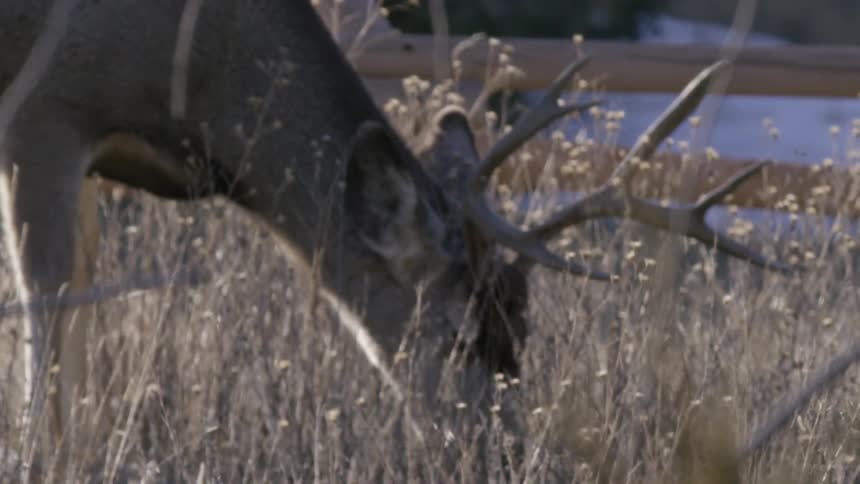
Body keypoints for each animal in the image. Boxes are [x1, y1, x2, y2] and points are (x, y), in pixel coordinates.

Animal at [2, 0, 833, 478]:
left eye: (523, 331)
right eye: (460, 335)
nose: (507, 458)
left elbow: (81, 303)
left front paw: (79, 449)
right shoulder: (45, 109)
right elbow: (47, 298)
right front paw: (38, 456)